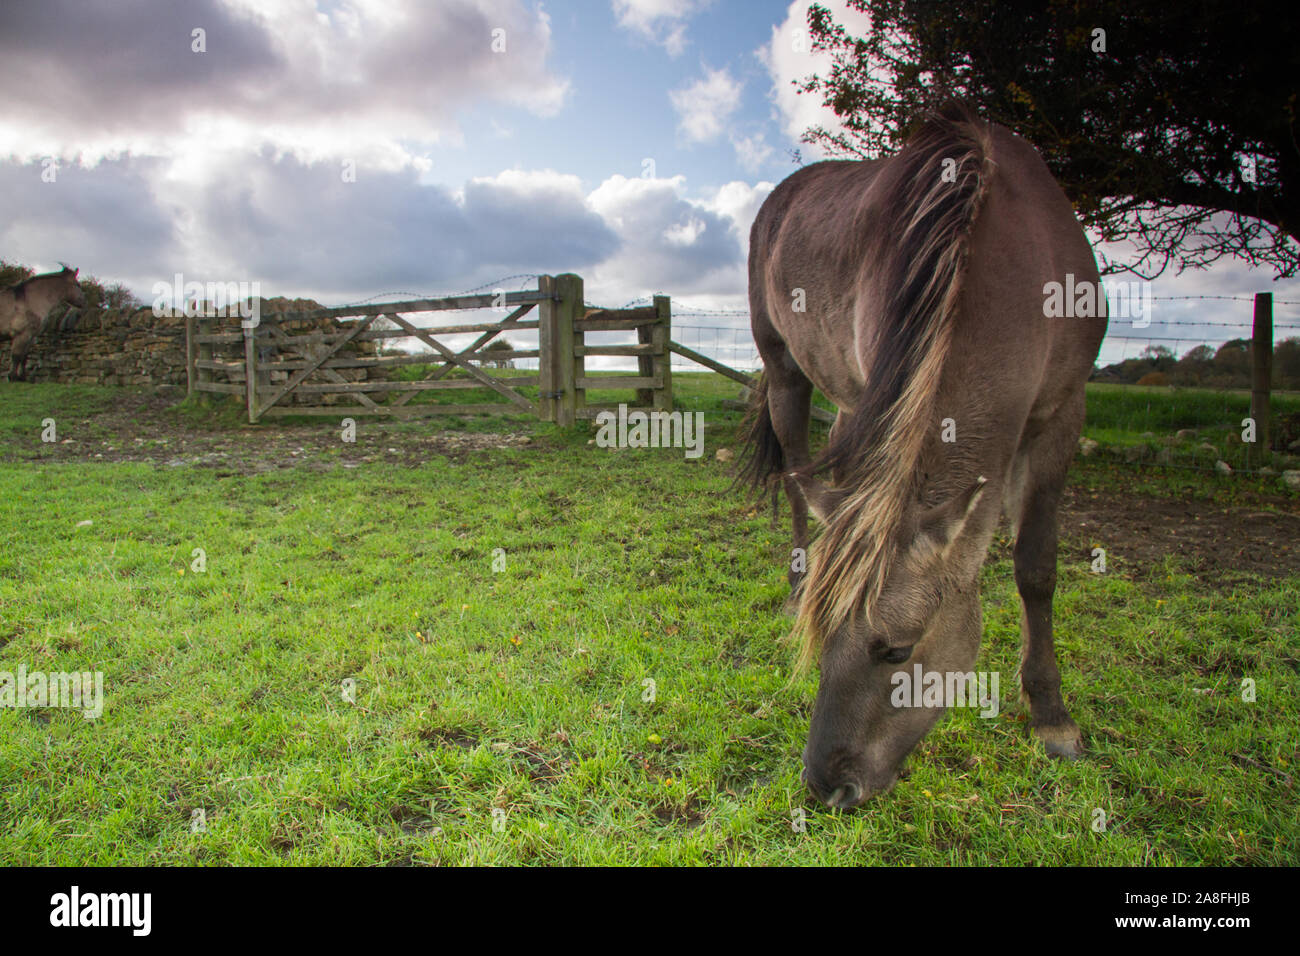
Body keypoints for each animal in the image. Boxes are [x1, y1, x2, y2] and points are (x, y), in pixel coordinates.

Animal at [743, 104, 1107, 806]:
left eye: (895, 650)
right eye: (822, 641)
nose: (827, 786)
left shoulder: (1063, 413)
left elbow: (1036, 567)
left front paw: (1051, 713)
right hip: (787, 374)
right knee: (800, 482)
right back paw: (797, 583)